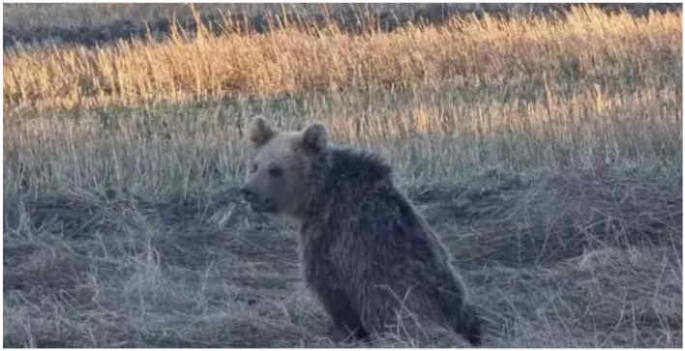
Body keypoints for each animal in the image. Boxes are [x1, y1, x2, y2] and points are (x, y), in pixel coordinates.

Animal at [240, 117, 480, 346]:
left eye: (276, 170)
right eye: (255, 166)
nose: (248, 191)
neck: (319, 195)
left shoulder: (334, 238)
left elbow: (329, 287)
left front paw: (344, 332)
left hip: (400, 299)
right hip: (455, 297)